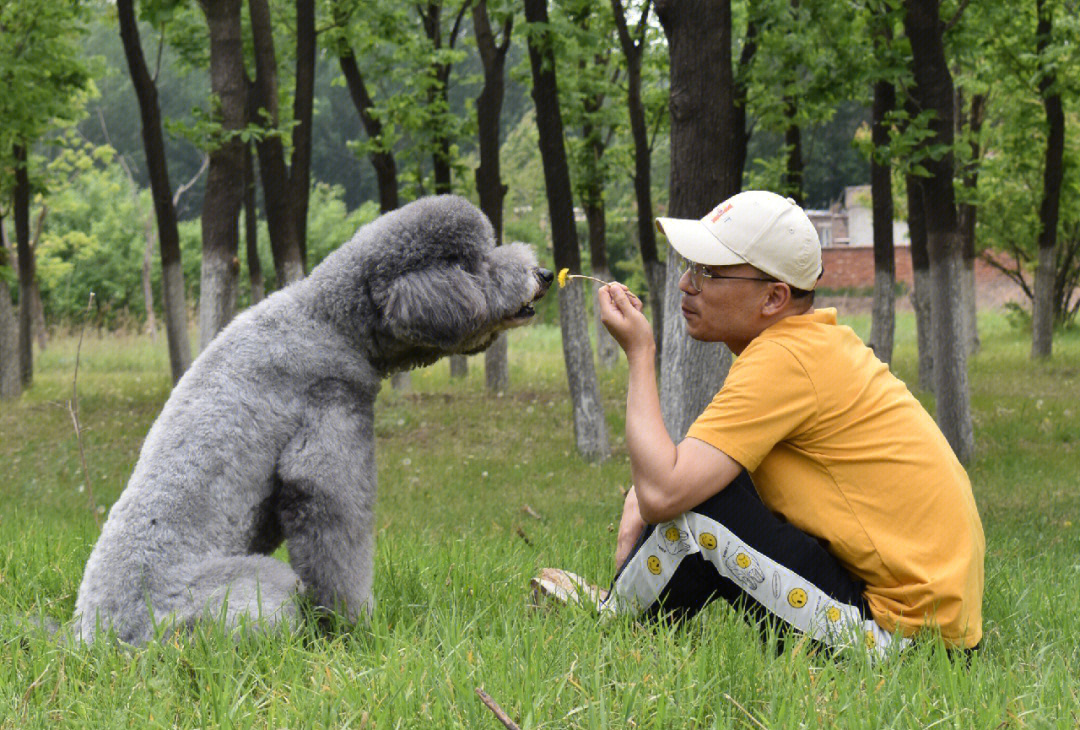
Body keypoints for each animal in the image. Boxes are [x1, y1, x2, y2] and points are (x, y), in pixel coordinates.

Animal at [71, 194, 552, 643]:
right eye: (474, 263)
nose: (544, 274)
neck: (328, 322)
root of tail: (101, 638)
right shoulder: (328, 435)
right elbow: (337, 540)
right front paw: (355, 629)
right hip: (257, 589)